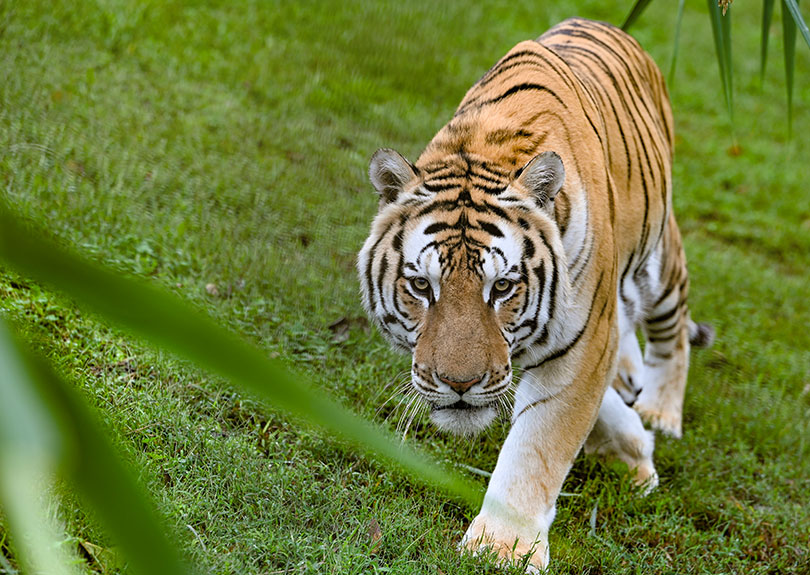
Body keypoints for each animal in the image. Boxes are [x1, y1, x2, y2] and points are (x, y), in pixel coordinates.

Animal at [356, 16, 712, 572]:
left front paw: (501, 548)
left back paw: (661, 411)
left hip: (660, 261)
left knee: (672, 331)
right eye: (421, 285)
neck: (485, 145)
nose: (459, 385)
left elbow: (538, 444)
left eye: (502, 287)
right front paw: (632, 448)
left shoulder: (584, 340)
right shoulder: (595, 337)